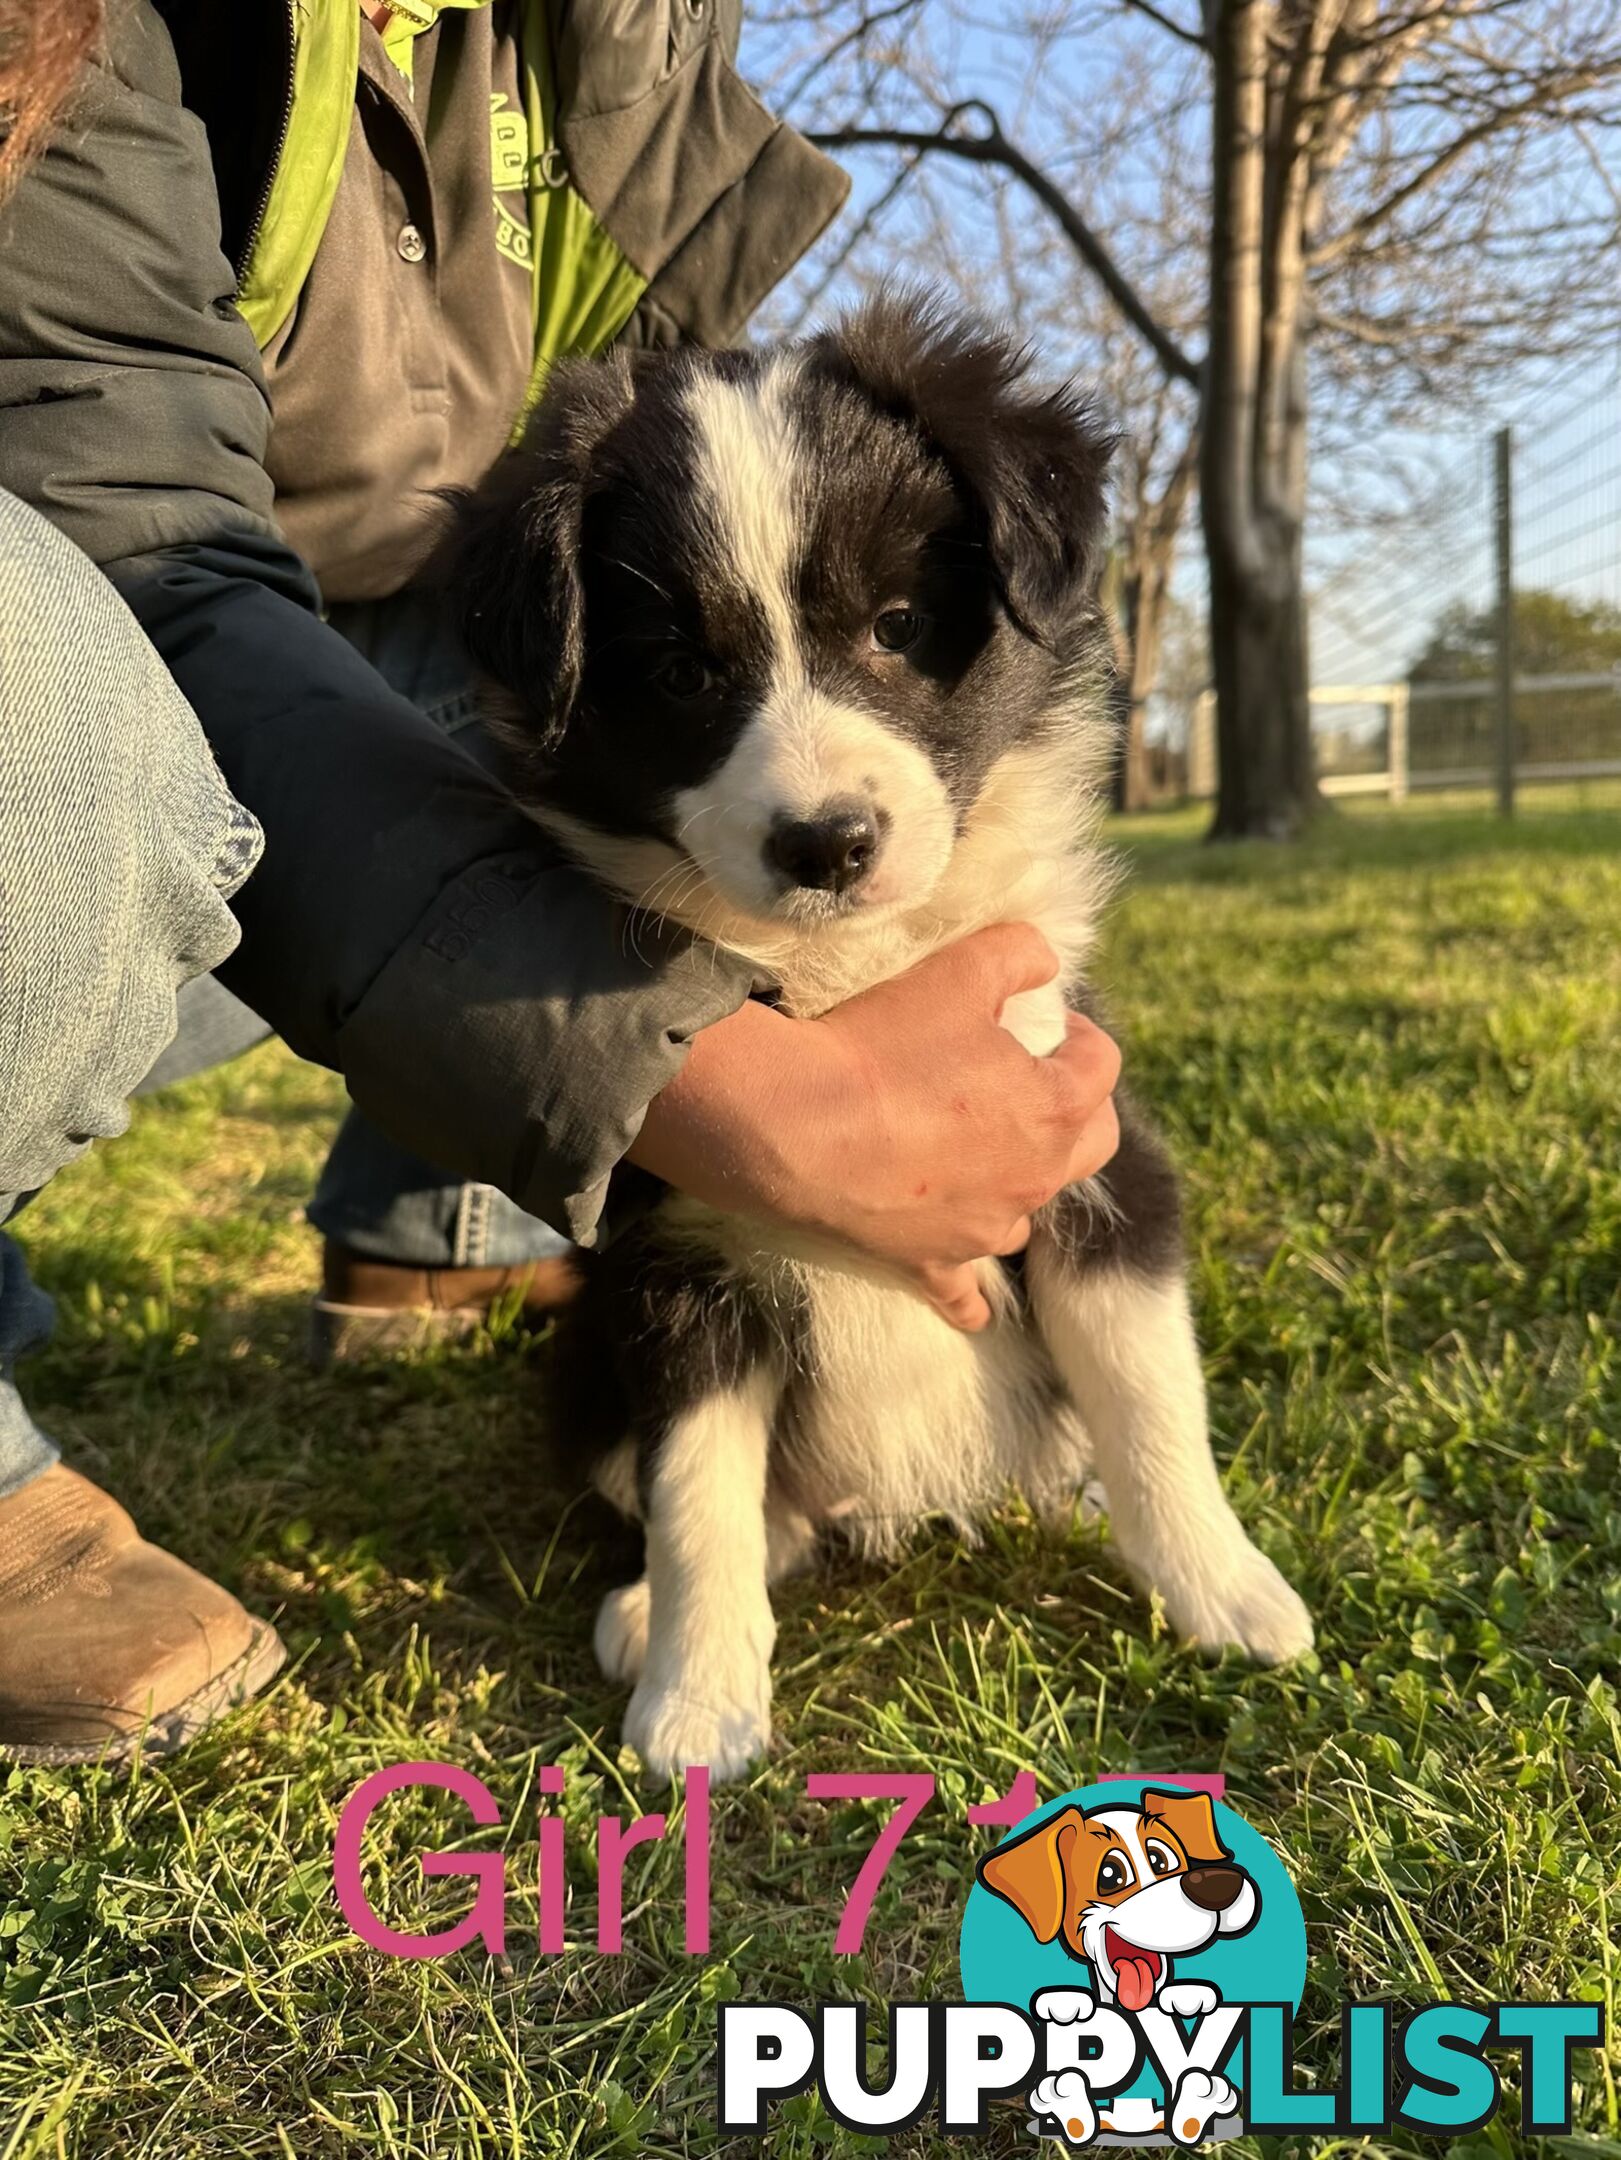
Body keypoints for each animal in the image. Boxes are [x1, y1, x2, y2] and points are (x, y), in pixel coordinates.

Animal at [447, 304, 1322, 1788]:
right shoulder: (672, 1266)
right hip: (583, 1364)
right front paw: (697, 1700)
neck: (847, 982)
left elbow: (1151, 1398)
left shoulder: (1093, 1157)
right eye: (680, 673)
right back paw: (647, 1612)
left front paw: (1228, 1592)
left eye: (899, 626)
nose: (828, 844)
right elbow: (695, 1491)